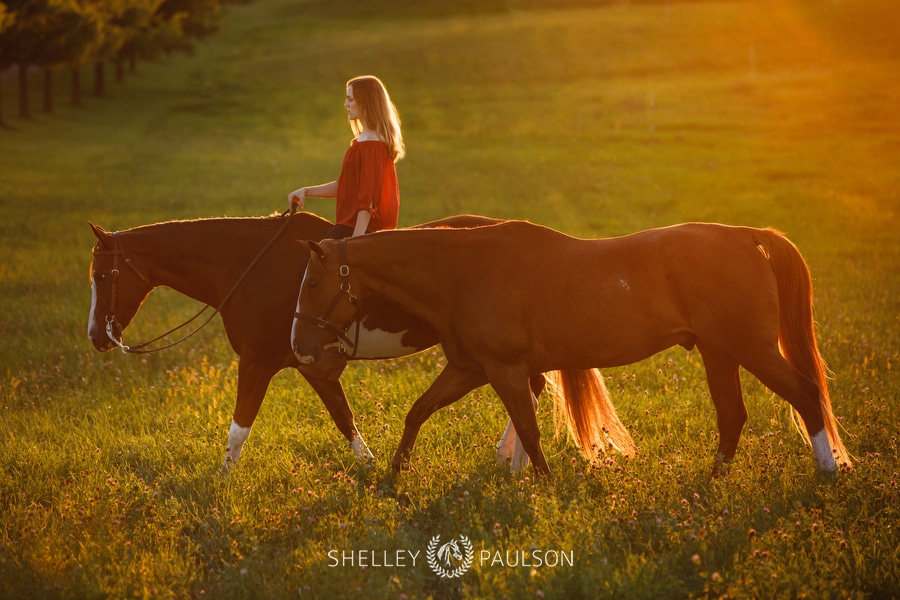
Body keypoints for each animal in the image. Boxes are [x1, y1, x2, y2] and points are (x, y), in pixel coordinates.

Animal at [86, 213, 540, 472]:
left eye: (102, 276)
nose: (95, 336)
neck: (247, 266)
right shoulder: (314, 367)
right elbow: (343, 416)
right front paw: (369, 466)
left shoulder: (257, 362)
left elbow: (238, 430)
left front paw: (221, 482)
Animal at [296, 218, 852, 476]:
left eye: (313, 284)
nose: (300, 347)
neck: (465, 272)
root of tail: (746, 235)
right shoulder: (469, 369)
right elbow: (418, 411)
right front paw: (395, 472)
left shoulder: (503, 370)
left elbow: (528, 429)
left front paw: (542, 485)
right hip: (720, 353)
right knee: (733, 415)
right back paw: (714, 479)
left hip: (751, 349)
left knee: (805, 394)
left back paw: (826, 470)